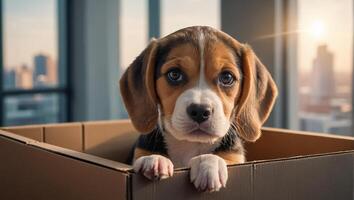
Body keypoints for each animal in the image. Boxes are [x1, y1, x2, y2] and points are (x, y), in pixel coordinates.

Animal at [120, 25, 278, 191]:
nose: (200, 111)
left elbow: (222, 158)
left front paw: (209, 163)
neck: (191, 144)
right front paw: (154, 159)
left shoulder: (236, 158)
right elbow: (144, 157)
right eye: (174, 74)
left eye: (227, 77)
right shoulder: (138, 153)